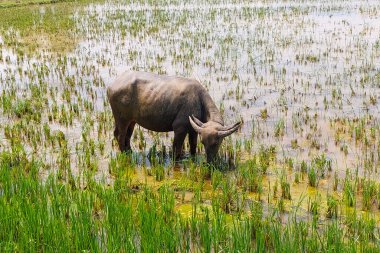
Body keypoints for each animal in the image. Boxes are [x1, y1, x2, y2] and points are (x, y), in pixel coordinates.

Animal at [107, 70, 240, 162]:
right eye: (204, 142)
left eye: (216, 143)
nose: (210, 162)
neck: (199, 100)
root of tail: (112, 86)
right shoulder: (179, 128)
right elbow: (176, 149)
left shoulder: (193, 130)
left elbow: (193, 146)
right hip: (122, 119)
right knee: (120, 135)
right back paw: (124, 154)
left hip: (131, 120)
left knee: (127, 136)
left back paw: (129, 152)